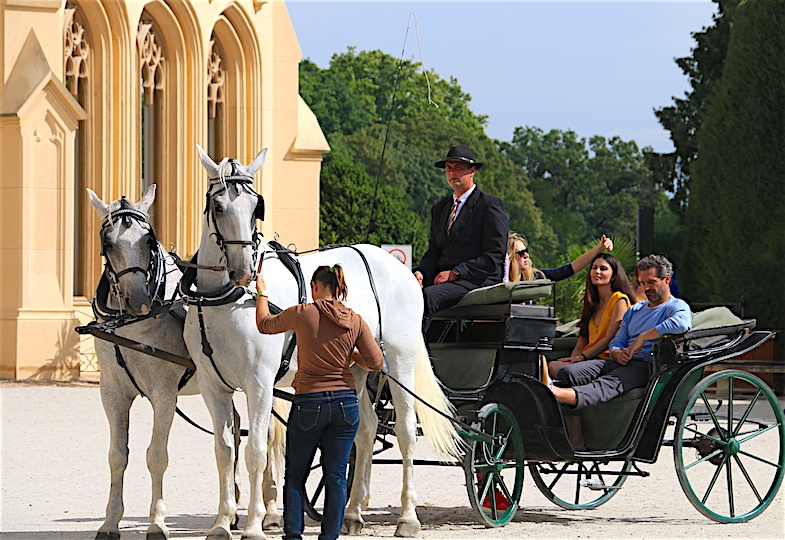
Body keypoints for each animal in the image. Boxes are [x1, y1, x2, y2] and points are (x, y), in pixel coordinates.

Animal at [87, 187, 286, 540]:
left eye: (148, 240)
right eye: (107, 243)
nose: (138, 300)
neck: (130, 325)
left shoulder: (164, 393)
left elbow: (156, 455)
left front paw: (157, 522)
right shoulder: (112, 393)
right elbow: (117, 456)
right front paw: (110, 522)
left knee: (267, 437)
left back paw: (271, 511)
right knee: (236, 430)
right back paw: (233, 508)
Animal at [188, 146, 460, 536]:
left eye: (256, 207)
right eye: (218, 205)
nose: (244, 271)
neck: (226, 300)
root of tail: (400, 267)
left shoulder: (259, 383)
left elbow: (256, 451)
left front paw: (254, 524)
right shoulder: (214, 386)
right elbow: (225, 452)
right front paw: (223, 523)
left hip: (399, 363)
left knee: (406, 432)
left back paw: (407, 517)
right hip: (356, 370)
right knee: (365, 431)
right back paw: (352, 513)